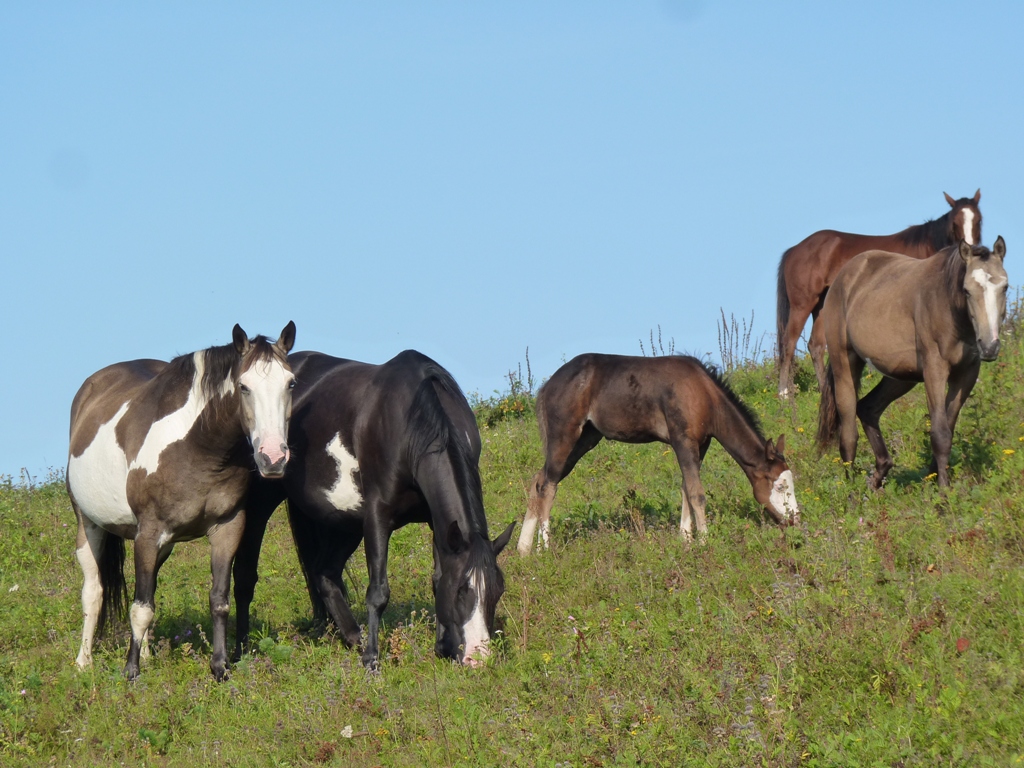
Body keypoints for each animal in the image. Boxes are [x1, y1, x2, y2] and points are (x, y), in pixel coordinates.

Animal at [68, 321, 296, 684]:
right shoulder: (148, 534)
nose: (272, 458)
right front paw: (130, 673)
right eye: (244, 386)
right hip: (88, 525)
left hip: (163, 545)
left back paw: (147, 655)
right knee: (94, 591)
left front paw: (220, 667)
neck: (198, 448)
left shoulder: (227, 528)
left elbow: (218, 599)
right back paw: (84, 661)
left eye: (291, 383)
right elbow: (140, 607)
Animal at [235, 352, 516, 671]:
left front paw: (442, 647)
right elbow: (379, 592)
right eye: (460, 591)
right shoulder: (377, 517)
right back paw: (243, 648)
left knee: (324, 573)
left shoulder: (438, 524)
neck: (412, 422)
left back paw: (350, 636)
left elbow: (436, 578)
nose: (477, 658)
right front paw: (372, 659)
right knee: (247, 573)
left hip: (341, 521)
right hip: (266, 504)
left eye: (498, 590)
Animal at [520, 352, 798, 557]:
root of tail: (547, 385)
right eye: (780, 486)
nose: (795, 520)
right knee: (548, 484)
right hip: (564, 435)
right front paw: (704, 542)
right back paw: (544, 548)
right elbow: (696, 493)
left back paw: (523, 548)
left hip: (586, 439)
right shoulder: (682, 440)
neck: (704, 393)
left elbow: (686, 488)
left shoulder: (701, 444)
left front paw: (685, 540)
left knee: (538, 479)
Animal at [774, 189, 983, 399]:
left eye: (978, 220)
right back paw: (784, 393)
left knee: (816, 346)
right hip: (802, 305)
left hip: (822, 307)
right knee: (788, 343)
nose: (970, 249)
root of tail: (795, 249)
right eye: (955, 222)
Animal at [815, 237, 1007, 489]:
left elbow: (948, 427)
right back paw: (851, 492)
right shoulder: (935, 370)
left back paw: (878, 478)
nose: (989, 346)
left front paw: (934, 479)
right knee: (848, 437)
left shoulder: (966, 375)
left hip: (902, 376)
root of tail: (843, 277)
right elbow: (940, 433)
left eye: (1004, 287)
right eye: (966, 290)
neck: (946, 302)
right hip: (844, 366)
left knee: (868, 408)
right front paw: (943, 493)